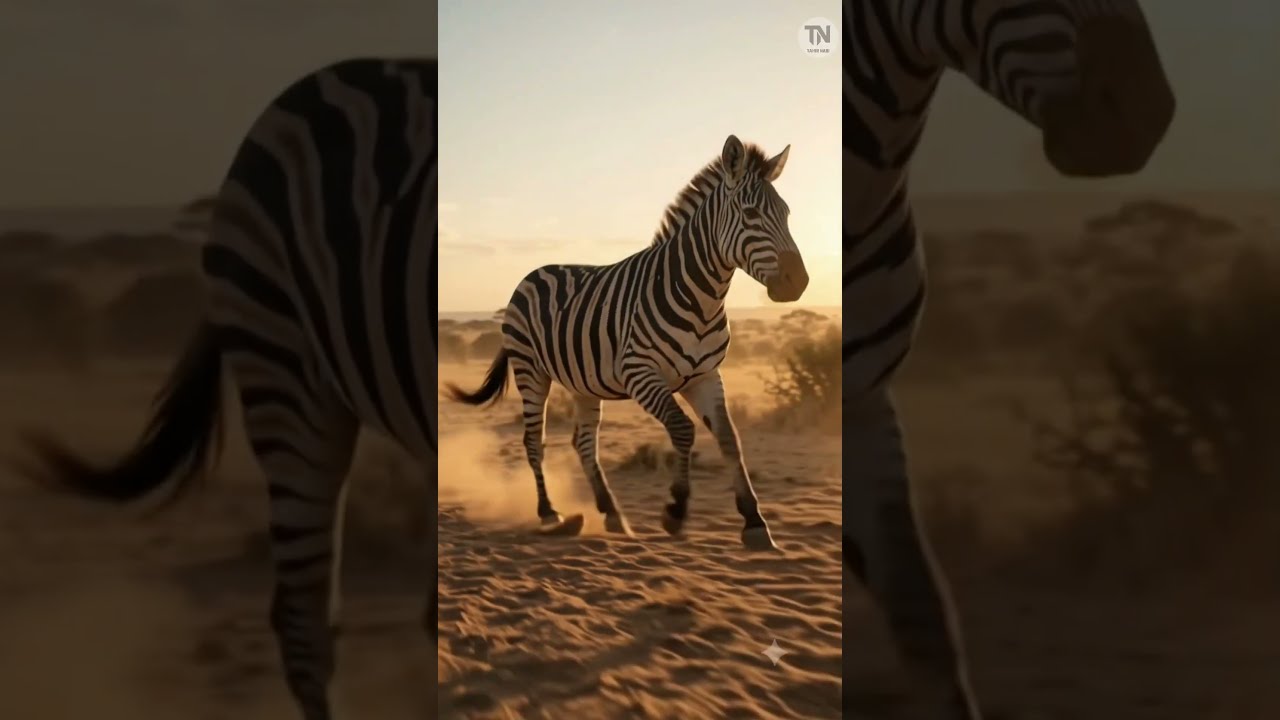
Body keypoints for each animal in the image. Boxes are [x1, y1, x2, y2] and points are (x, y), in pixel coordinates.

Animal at [446, 135, 808, 552]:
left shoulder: (705, 376)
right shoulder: (640, 373)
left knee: (583, 442)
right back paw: (550, 514)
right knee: (534, 440)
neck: (701, 297)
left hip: (583, 382)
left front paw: (754, 523)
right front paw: (675, 511)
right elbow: (683, 430)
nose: (799, 283)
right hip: (530, 371)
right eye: (750, 214)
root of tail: (534, 273)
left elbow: (729, 439)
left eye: (787, 213)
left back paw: (611, 513)